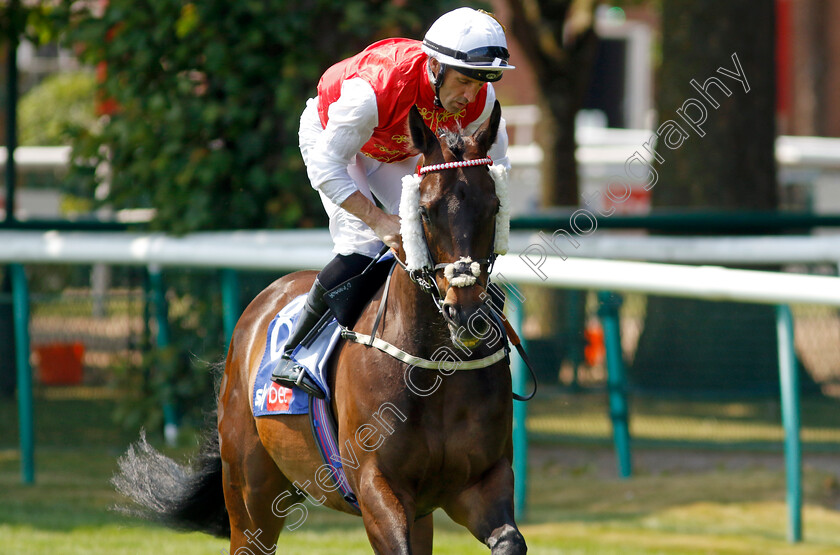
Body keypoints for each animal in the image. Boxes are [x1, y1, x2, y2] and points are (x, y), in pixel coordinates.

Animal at [113, 101, 524, 555]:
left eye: (494, 206)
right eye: (425, 211)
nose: (464, 312)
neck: (435, 367)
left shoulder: (479, 480)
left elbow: (510, 540)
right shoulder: (376, 485)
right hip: (251, 494)